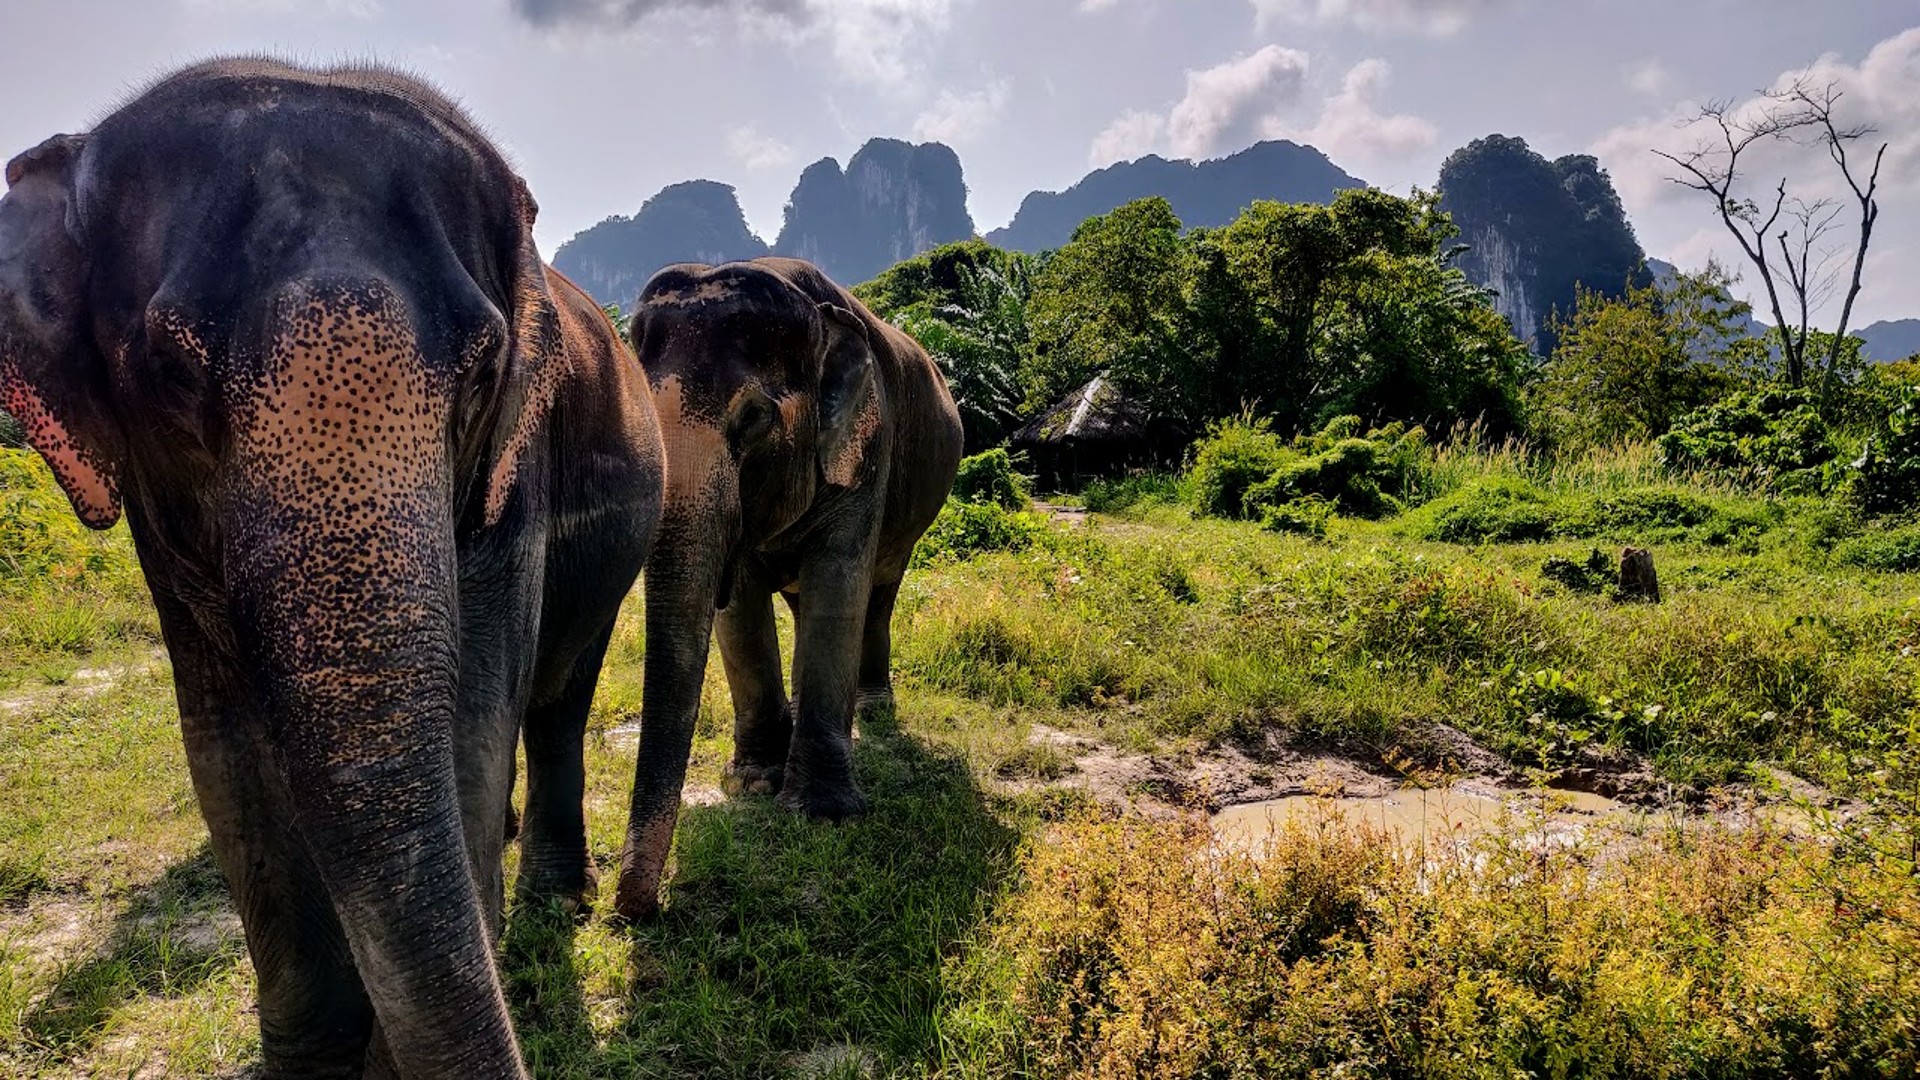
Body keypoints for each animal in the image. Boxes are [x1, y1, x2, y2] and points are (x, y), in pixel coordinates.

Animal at [0, 60, 664, 1077]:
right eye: (169, 373)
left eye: (483, 373)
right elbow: (226, 757)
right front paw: (312, 1059)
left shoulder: (512, 486)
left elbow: (473, 724)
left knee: (557, 695)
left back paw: (553, 894)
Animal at [610, 257, 962, 922]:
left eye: (752, 420)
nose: (634, 908)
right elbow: (741, 606)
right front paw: (750, 783)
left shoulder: (866, 444)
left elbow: (838, 582)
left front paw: (822, 814)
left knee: (879, 592)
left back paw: (871, 708)